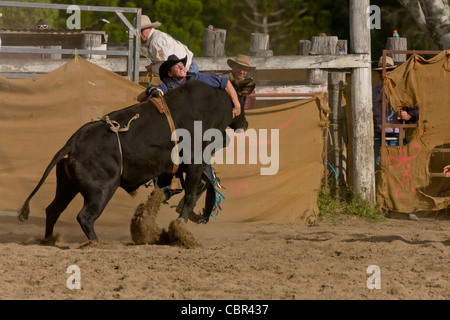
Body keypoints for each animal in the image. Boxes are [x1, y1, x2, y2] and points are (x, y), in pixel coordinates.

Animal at [17, 80, 248, 240]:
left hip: (68, 186)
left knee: (54, 209)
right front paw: (180, 228)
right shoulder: (195, 162)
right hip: (101, 190)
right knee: (85, 216)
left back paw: (49, 240)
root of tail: (73, 142)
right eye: (243, 100)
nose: (244, 122)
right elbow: (192, 194)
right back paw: (96, 243)